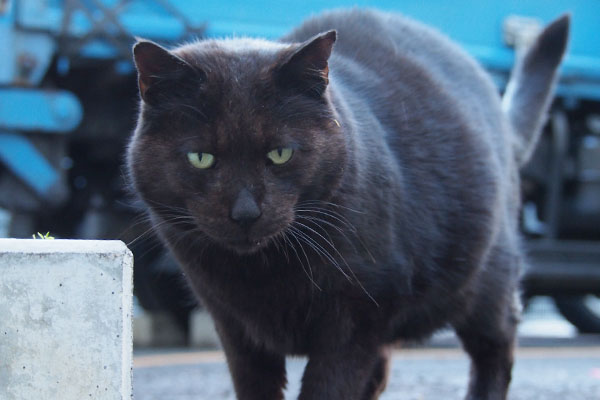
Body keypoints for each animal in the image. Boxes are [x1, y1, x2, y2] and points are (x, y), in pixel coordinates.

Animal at [125, 9, 568, 400]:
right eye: (201, 158)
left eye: (280, 154)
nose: (246, 212)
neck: (261, 274)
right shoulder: (234, 327)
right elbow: (256, 387)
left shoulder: (356, 317)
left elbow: (328, 387)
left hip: (486, 284)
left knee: (496, 351)